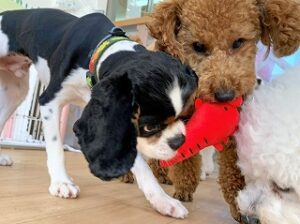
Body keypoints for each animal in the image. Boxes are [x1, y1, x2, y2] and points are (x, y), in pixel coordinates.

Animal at [0, 8, 199, 219]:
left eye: (186, 116)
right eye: (149, 126)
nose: (179, 141)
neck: (101, 50)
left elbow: (141, 166)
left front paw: (162, 200)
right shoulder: (49, 102)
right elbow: (55, 147)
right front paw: (61, 182)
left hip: (16, 92)